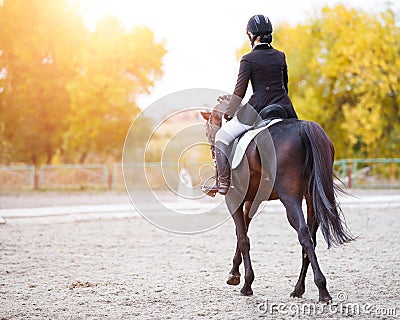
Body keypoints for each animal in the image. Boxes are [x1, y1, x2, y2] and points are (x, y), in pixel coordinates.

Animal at [200, 105, 354, 302]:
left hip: (290, 198)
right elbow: (242, 232)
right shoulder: (252, 201)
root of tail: (304, 127)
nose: (213, 155)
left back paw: (322, 290)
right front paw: (234, 274)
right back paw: (298, 289)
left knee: (304, 234)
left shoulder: (233, 198)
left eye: (208, 131)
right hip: (311, 200)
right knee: (310, 240)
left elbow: (243, 238)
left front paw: (246, 284)